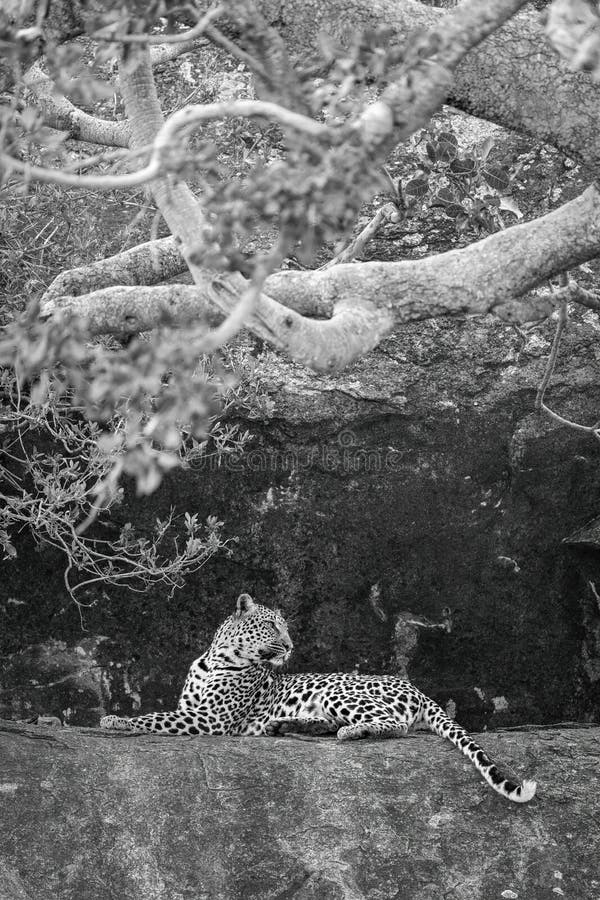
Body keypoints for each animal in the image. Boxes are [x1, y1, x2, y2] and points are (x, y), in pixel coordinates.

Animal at [100, 593, 537, 803]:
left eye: (284, 627)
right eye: (272, 625)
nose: (291, 646)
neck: (217, 658)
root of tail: (416, 688)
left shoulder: (208, 720)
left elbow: (152, 718)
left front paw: (113, 720)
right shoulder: (192, 710)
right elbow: (157, 715)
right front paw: (114, 719)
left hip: (338, 691)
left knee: (390, 725)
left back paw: (349, 733)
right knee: (330, 724)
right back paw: (283, 725)